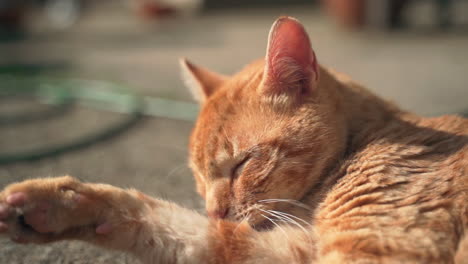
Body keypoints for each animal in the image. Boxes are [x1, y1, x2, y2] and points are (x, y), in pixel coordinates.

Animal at [0, 17, 468, 264]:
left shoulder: (375, 249)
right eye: (198, 177)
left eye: (243, 164)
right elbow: (179, 228)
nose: (214, 208)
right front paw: (57, 204)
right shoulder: (286, 248)